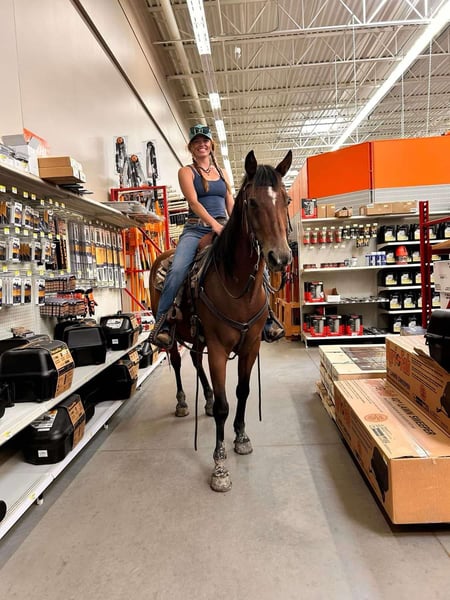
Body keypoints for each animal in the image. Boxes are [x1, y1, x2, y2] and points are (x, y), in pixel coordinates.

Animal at [149, 149, 293, 492]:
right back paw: (184, 402)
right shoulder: (217, 347)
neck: (236, 282)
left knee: (194, 361)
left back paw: (206, 397)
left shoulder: (251, 345)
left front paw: (241, 437)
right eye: (252, 202)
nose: (280, 258)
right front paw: (220, 466)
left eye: (287, 200)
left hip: (196, 335)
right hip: (173, 335)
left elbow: (242, 392)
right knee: (178, 361)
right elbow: (225, 406)